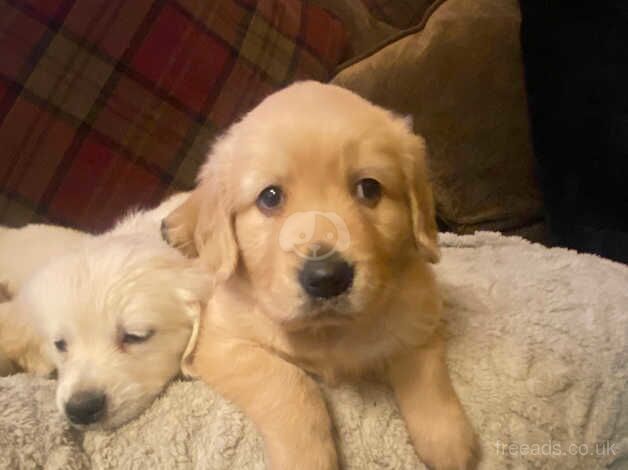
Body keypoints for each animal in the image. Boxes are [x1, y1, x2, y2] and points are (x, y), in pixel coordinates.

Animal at [162, 82, 476, 468]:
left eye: (369, 188)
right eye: (270, 197)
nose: (327, 277)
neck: (326, 332)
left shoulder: (421, 312)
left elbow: (426, 372)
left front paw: (447, 438)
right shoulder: (219, 341)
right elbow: (290, 382)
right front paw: (307, 456)